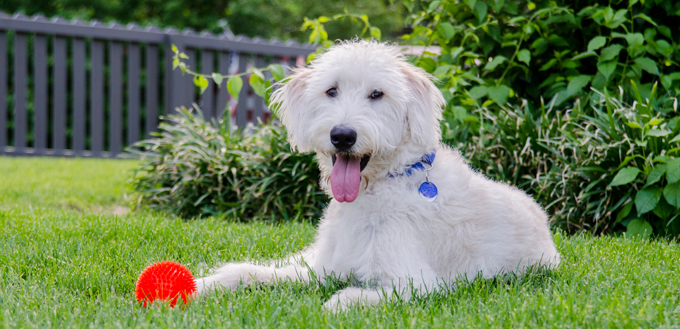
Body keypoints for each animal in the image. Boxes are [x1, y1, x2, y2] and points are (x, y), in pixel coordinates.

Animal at [194, 39, 560, 308]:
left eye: (377, 94)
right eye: (331, 90)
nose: (342, 136)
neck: (381, 187)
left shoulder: (418, 284)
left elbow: (343, 298)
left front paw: (335, 303)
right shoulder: (324, 267)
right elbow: (254, 274)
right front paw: (206, 284)